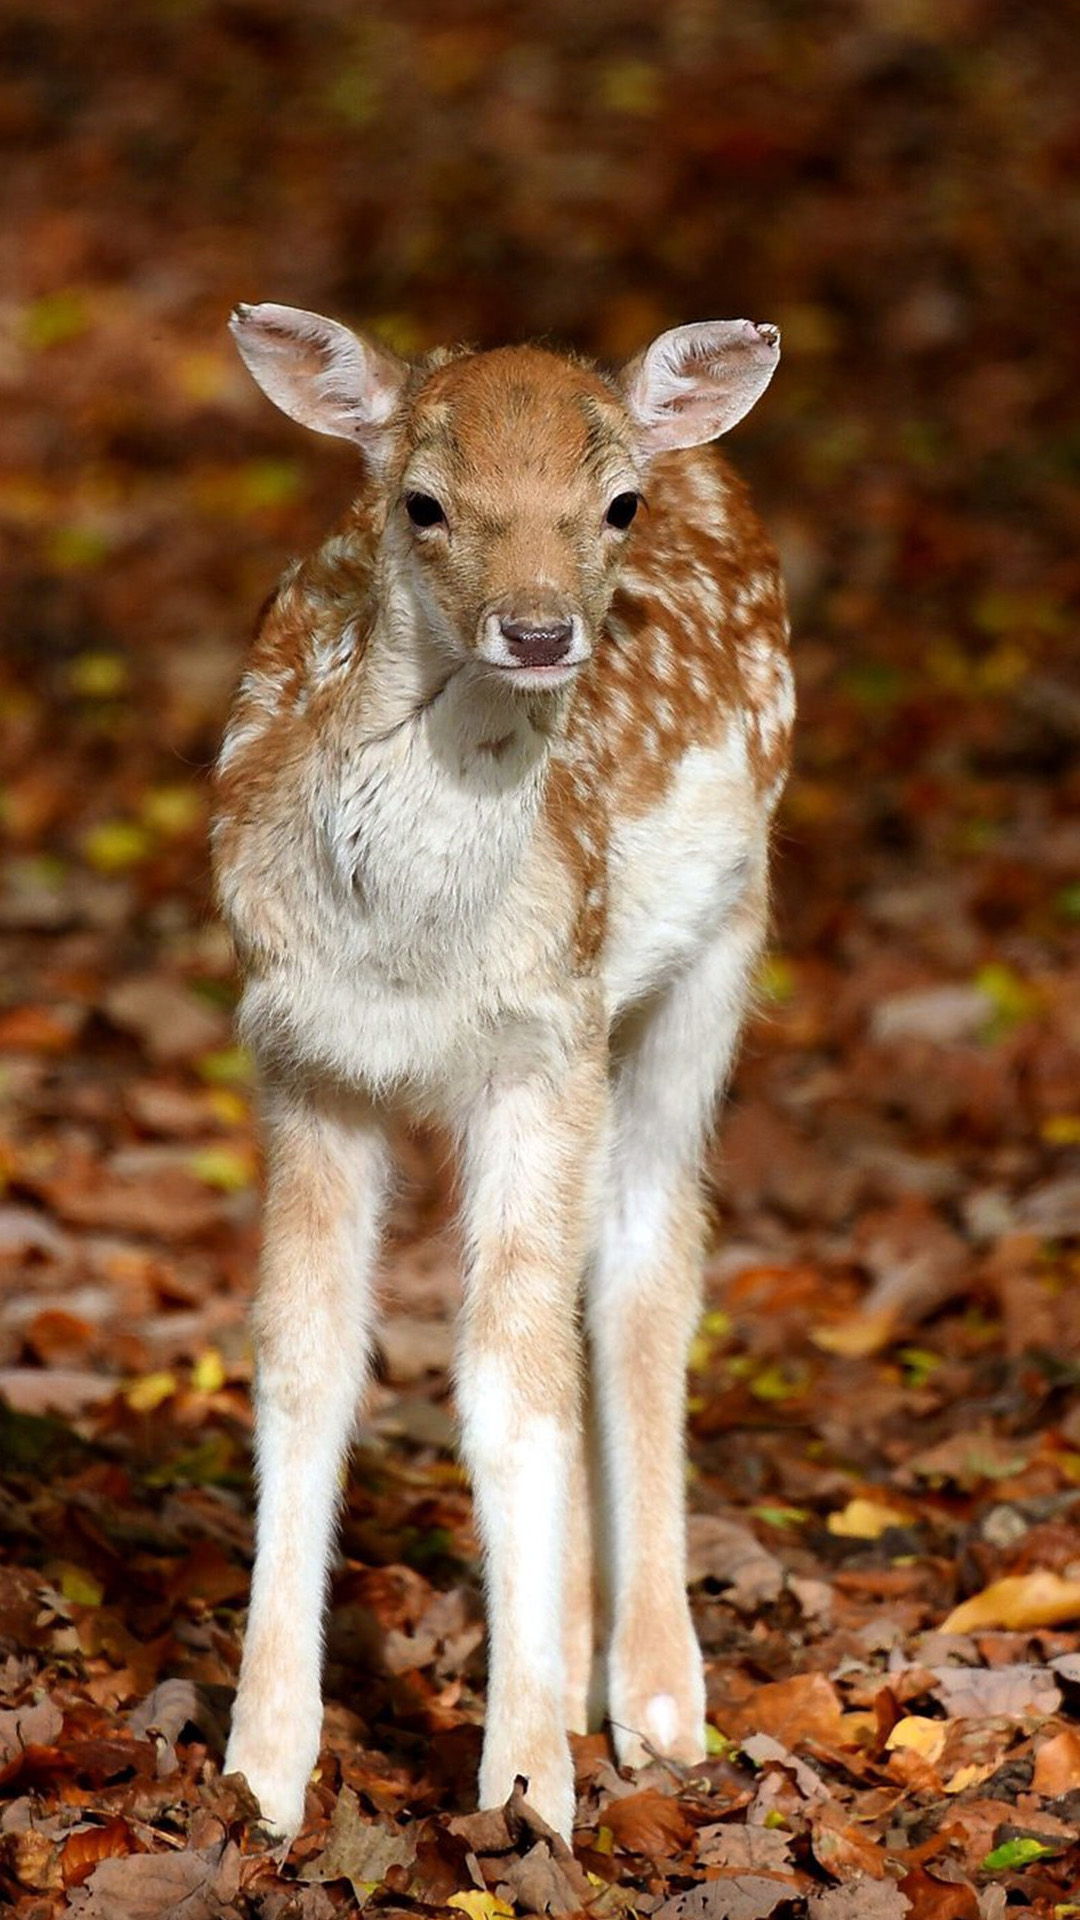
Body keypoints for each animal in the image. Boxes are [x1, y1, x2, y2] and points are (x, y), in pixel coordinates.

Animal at [212, 299, 791, 1843]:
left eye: (617, 505)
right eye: (422, 503)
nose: (538, 631)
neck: (415, 956)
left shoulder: (545, 1033)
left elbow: (509, 1377)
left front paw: (526, 1786)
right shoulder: (300, 1050)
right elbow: (306, 1361)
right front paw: (261, 1771)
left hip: (713, 953)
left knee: (645, 1269)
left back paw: (653, 1702)